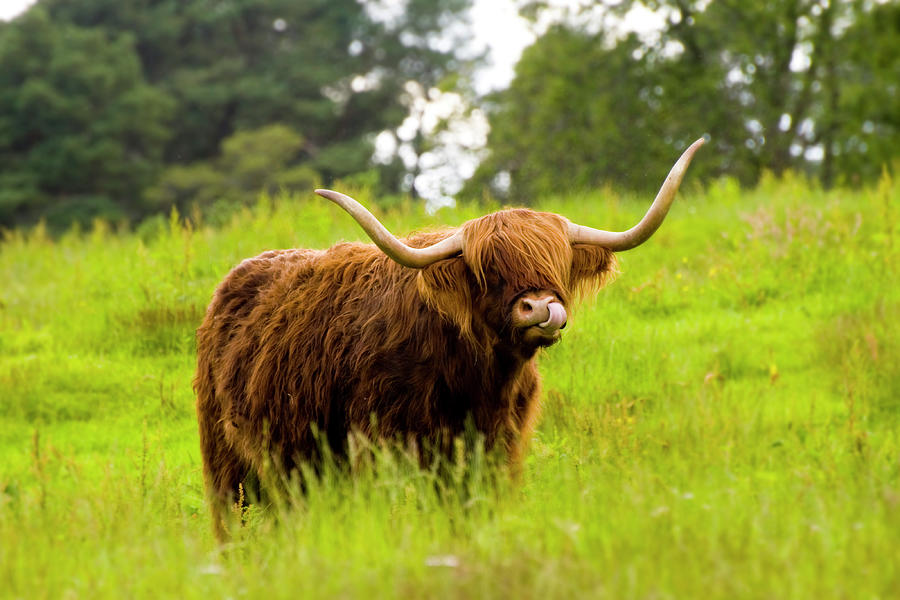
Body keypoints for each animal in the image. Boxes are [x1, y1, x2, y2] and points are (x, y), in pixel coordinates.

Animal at [195, 137, 704, 536]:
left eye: (557, 263)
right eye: (489, 270)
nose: (542, 307)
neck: (478, 377)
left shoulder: (499, 448)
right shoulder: (381, 445)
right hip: (227, 463)